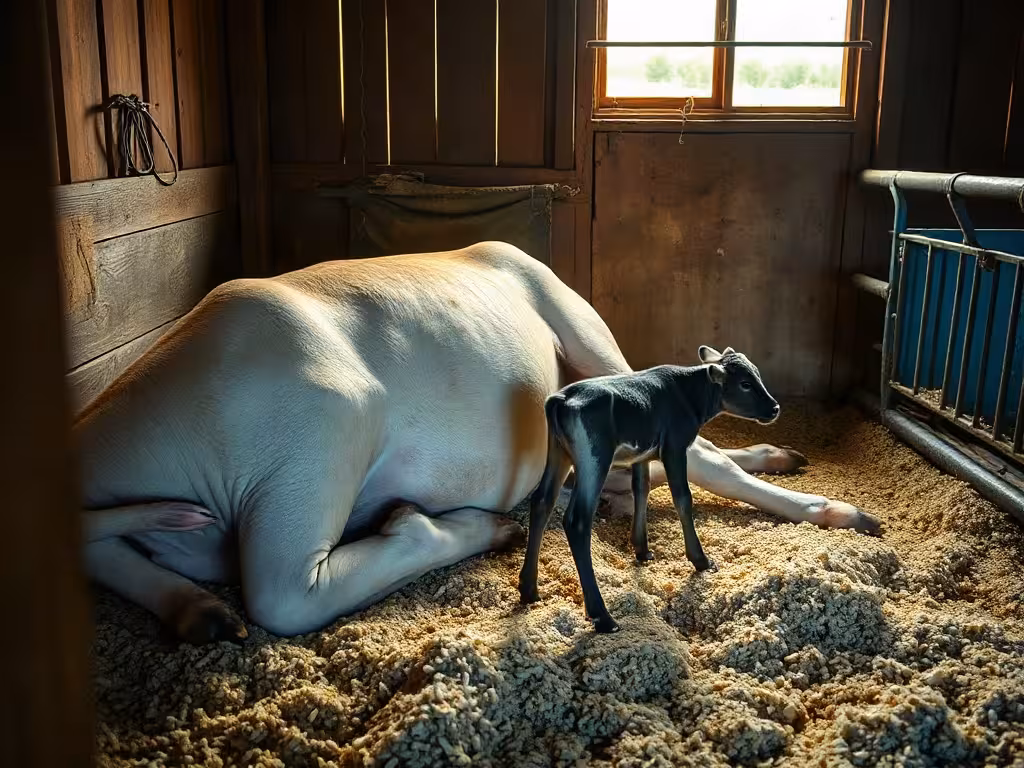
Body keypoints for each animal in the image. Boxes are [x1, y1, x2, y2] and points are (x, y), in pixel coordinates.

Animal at [76, 241, 881, 644]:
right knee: (632, 471)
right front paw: (202, 613)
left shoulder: (314, 455)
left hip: (584, 331)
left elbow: (282, 602)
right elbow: (117, 560)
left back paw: (831, 506)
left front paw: (469, 526)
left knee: (692, 452)